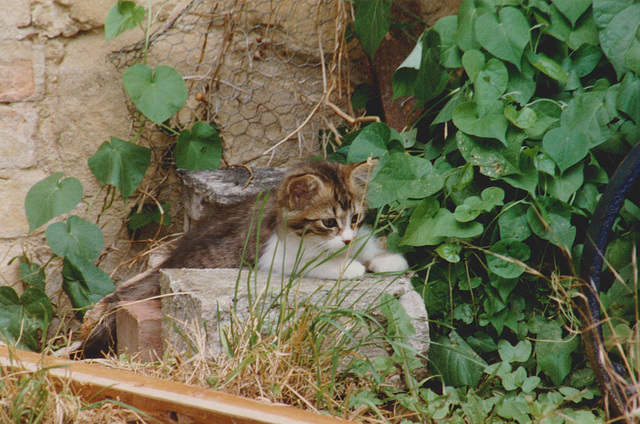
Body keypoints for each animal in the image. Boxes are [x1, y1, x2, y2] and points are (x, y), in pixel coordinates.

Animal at [80, 161, 408, 356]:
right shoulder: (276, 257)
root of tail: (170, 261)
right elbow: (316, 262)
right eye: (328, 222)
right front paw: (349, 266)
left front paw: (385, 259)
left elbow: (365, 244)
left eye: (355, 218)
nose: (346, 238)